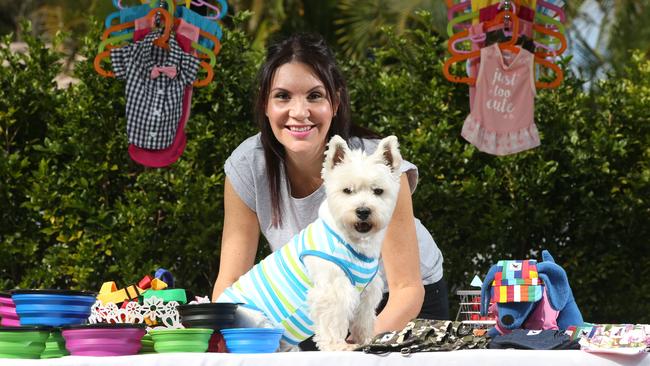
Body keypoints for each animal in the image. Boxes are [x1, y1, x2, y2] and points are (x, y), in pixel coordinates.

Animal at [216, 135, 400, 352]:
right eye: (347, 190)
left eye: (378, 191)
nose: (363, 211)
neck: (352, 240)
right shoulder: (332, 289)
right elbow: (332, 321)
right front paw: (337, 346)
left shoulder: (367, 292)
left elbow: (363, 320)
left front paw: (366, 341)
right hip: (256, 319)